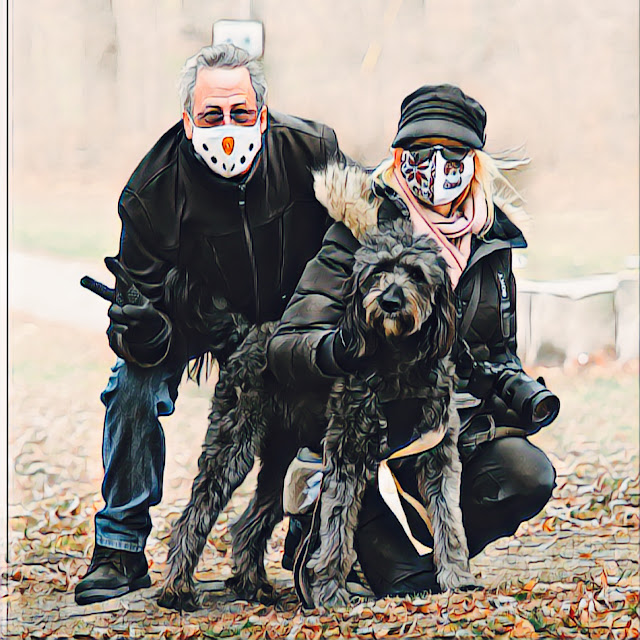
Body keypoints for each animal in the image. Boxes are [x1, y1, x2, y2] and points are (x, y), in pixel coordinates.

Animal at [157, 217, 475, 611]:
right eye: (378, 272)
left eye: (416, 274)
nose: (389, 301)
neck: (397, 362)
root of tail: (246, 335)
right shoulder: (346, 456)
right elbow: (336, 529)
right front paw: (330, 593)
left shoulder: (438, 456)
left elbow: (449, 518)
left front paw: (456, 577)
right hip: (232, 448)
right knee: (193, 515)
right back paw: (177, 588)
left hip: (279, 463)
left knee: (248, 523)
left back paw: (252, 583)